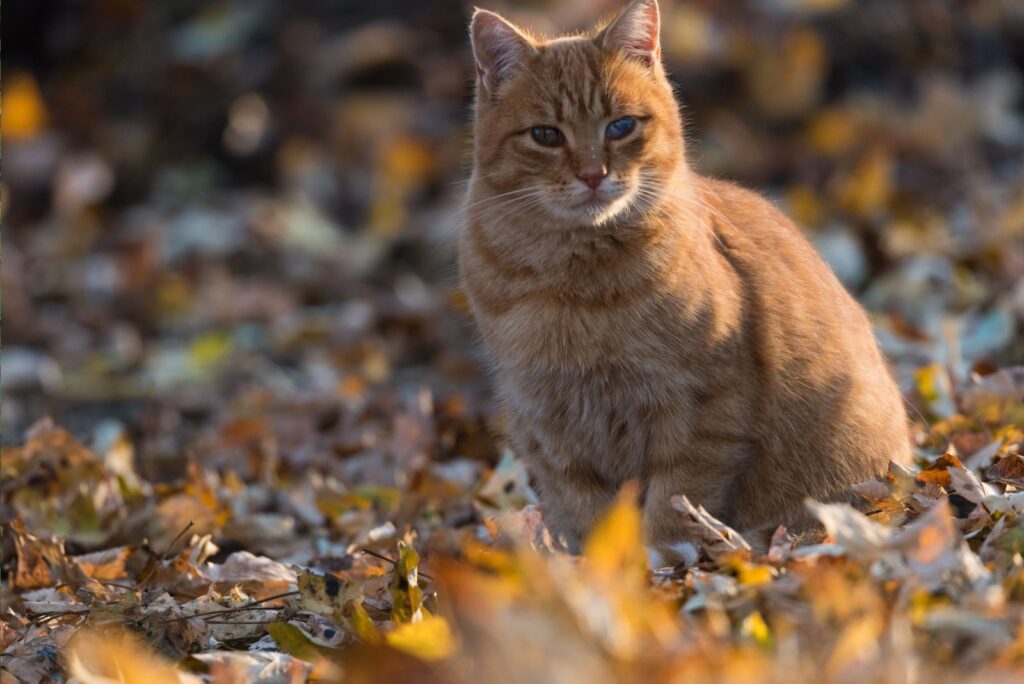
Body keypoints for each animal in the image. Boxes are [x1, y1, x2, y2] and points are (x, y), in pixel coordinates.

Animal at [460, 0, 909, 561]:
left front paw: (660, 565)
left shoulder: (702, 412)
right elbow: (588, 513)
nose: (592, 174)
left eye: (620, 126)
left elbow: (675, 505)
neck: (579, 287)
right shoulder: (548, 427)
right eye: (545, 135)